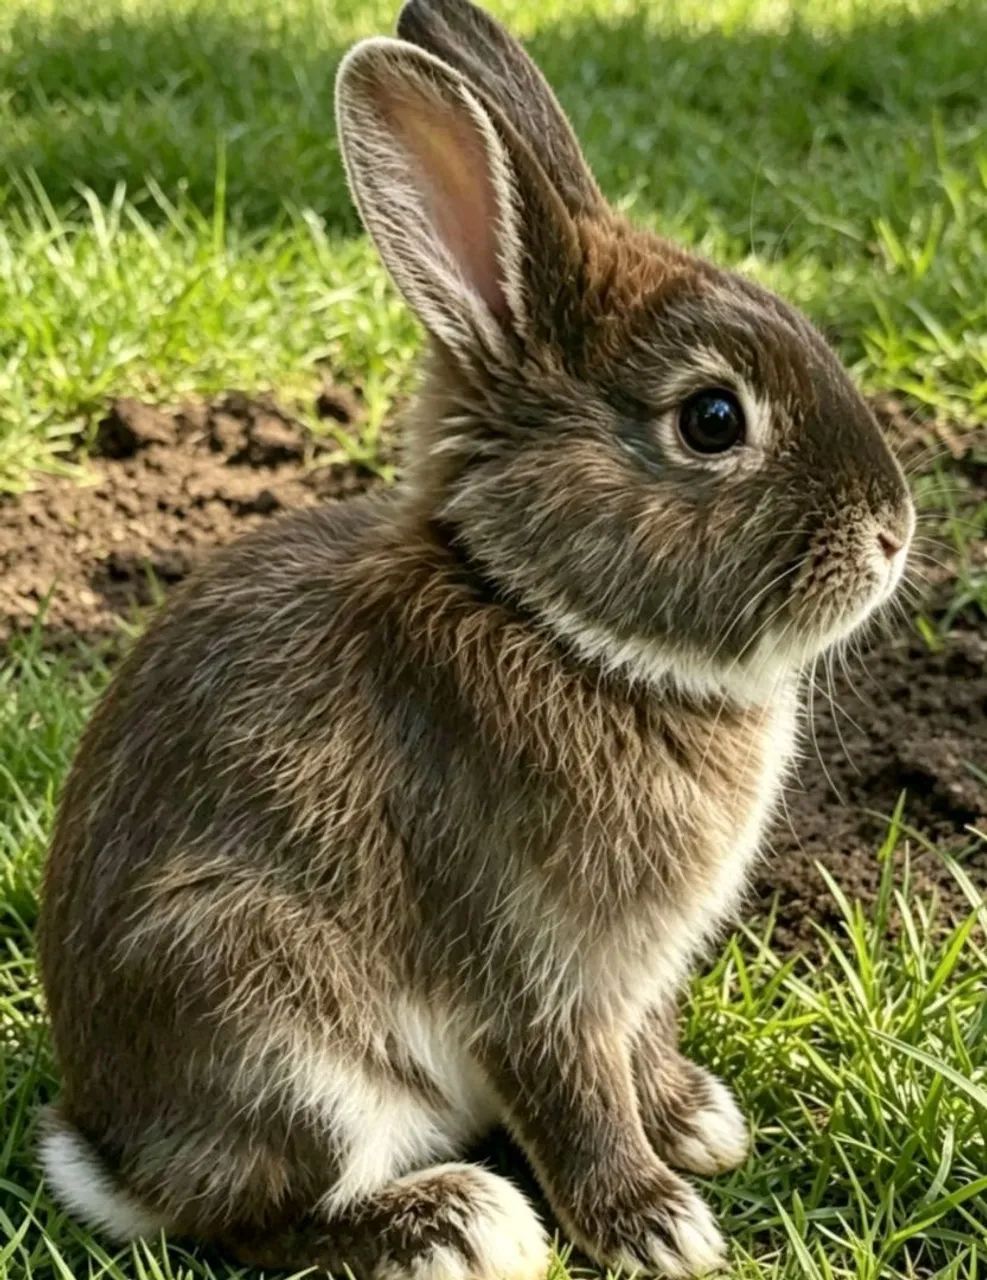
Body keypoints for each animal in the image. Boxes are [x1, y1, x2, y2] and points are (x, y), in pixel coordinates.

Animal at [37, 0, 915, 1276]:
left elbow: (635, 1055)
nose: (895, 532)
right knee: (255, 1218)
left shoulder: (630, 980)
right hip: (266, 1016)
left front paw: (696, 1117)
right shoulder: (534, 969)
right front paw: (658, 1225)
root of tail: (107, 1153)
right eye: (711, 419)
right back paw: (453, 1221)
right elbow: (572, 1095)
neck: (546, 621)